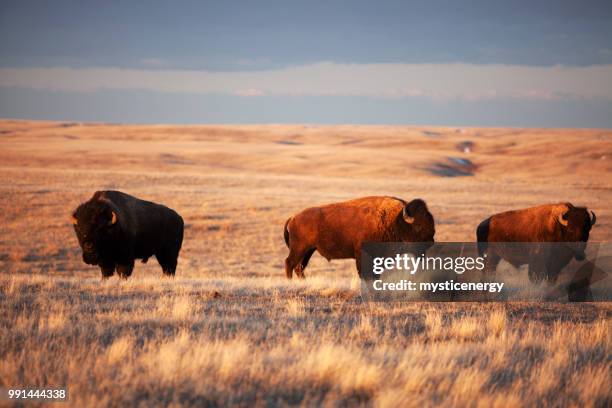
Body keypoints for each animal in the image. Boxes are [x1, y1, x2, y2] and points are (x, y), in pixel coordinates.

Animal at [282, 196, 436, 278]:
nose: (431, 242)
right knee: (290, 263)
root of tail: (293, 217)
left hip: (308, 250)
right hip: (299, 248)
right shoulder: (362, 255)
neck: (395, 221)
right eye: (418, 226)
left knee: (299, 267)